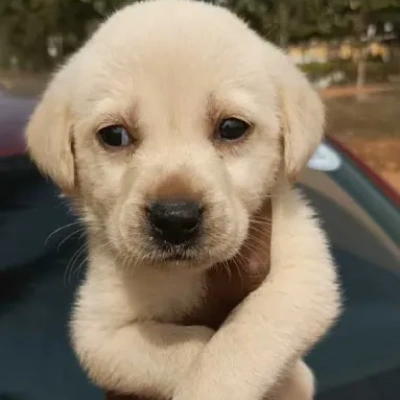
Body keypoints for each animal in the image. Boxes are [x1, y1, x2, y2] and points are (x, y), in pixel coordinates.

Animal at [26, 0, 340, 400]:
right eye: (114, 135)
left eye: (232, 128)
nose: (174, 219)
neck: (185, 274)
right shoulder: (98, 333)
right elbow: (189, 345)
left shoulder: (303, 275)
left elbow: (238, 344)